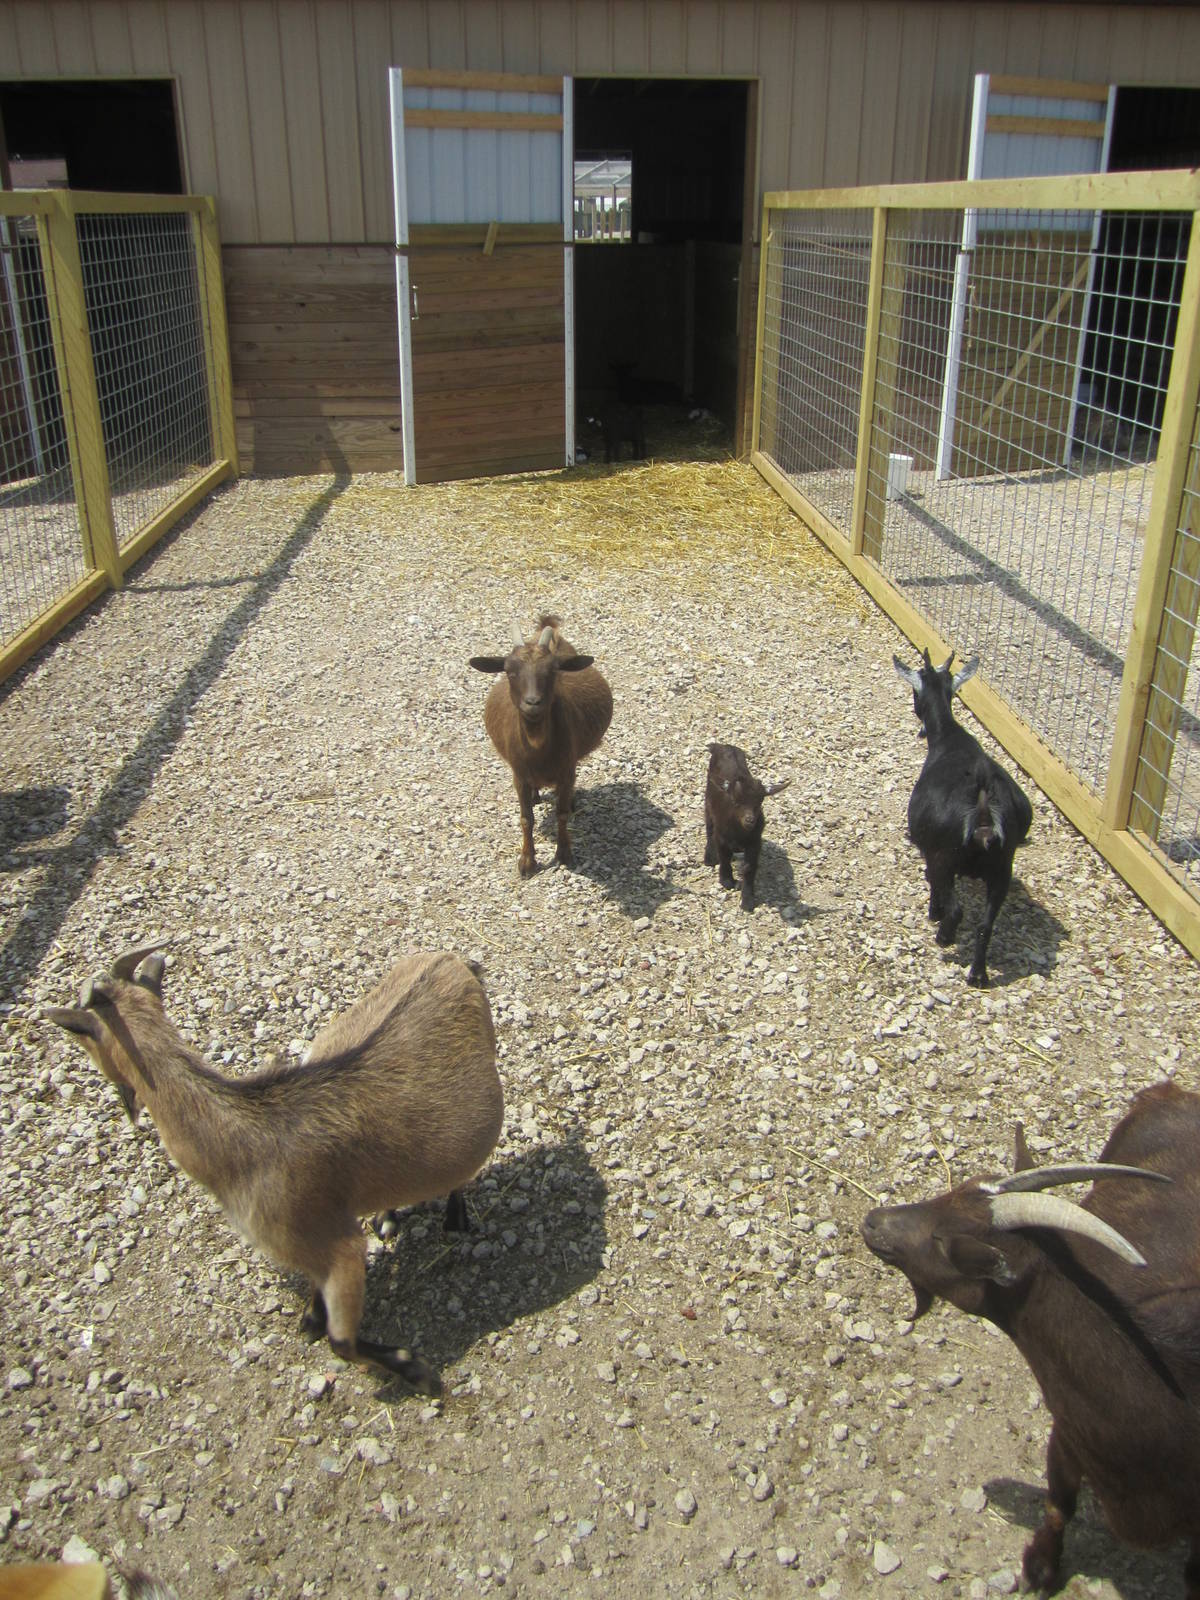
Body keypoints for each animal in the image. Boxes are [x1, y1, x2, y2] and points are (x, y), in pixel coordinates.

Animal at [46, 942, 503, 1395]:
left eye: (84, 1038)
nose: (126, 1101)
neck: (244, 1146)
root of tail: (452, 961)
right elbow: (316, 1320)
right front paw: (315, 1318)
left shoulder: (335, 1247)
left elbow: (340, 1342)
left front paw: (418, 1371)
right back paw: (387, 1216)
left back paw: (454, 1217)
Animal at [469, 615, 613, 876]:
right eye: (509, 671)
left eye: (553, 670)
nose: (533, 703)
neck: (538, 749)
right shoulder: (519, 775)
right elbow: (527, 818)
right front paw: (527, 862)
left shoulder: (566, 771)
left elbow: (562, 813)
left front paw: (564, 854)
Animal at [703, 741, 790, 910]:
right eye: (735, 801)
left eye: (760, 802)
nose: (749, 820)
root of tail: (723, 746)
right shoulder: (721, 838)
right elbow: (724, 857)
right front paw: (727, 881)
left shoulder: (755, 842)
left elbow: (749, 867)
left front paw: (748, 900)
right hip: (708, 798)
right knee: (709, 825)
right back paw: (709, 857)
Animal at [861, 1081, 1200, 1597]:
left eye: (946, 1243)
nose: (873, 1221)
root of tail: (1171, 1090)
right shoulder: (1070, 1429)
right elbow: (1059, 1504)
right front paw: (1038, 1570)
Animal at [893, 648, 1032, 986]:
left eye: (915, 691)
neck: (949, 739)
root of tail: (982, 804)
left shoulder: (930, 852)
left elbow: (935, 889)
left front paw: (934, 913)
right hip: (1002, 868)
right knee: (985, 924)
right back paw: (978, 975)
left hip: (946, 857)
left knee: (957, 910)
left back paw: (944, 937)